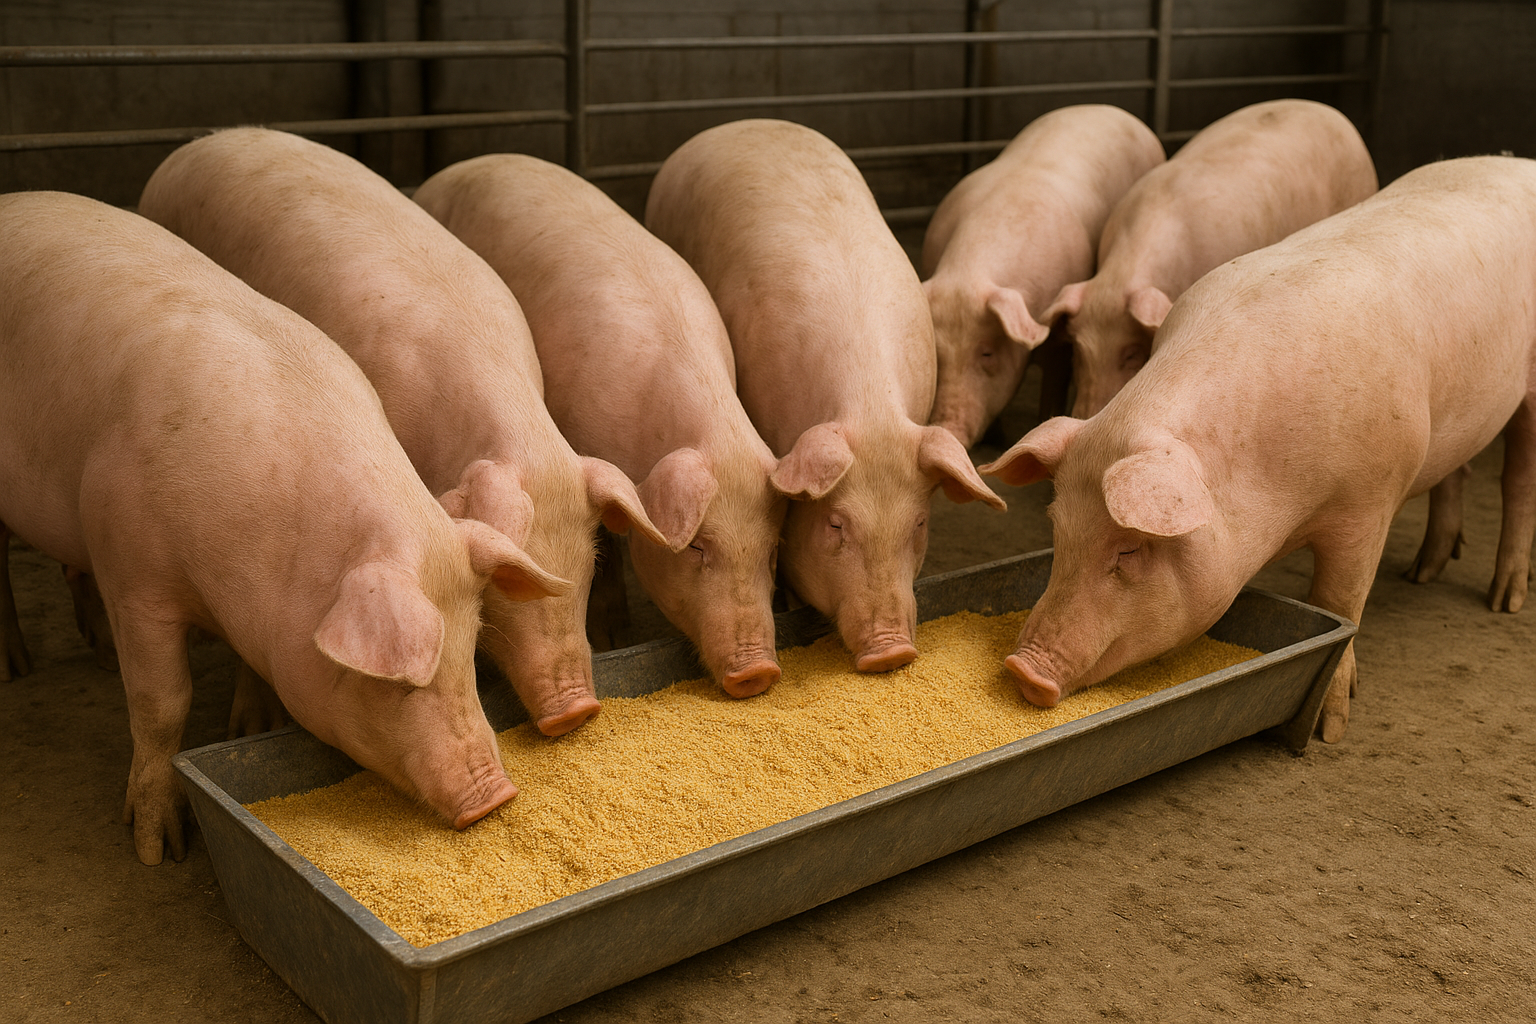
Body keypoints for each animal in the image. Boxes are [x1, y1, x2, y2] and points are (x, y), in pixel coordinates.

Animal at [0, 191, 556, 863]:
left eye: (470, 654)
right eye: (399, 683)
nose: (497, 796)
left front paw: (252, 728)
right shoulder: (131, 573)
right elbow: (162, 704)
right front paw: (158, 851)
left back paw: (97, 657)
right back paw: (15, 671)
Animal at [414, 153, 789, 698]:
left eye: (771, 551)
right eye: (698, 546)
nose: (760, 672)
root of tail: (464, 164)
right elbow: (607, 547)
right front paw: (616, 639)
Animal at [920, 104, 1165, 447]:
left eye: (987, 352)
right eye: (937, 356)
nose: (947, 428)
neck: (968, 271)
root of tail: (1106, 108)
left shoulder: (1059, 339)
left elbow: (1054, 386)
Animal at [980, 155, 1536, 744]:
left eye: (1128, 550)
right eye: (1058, 531)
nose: (1021, 670)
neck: (1281, 506)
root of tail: (1520, 163)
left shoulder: (1372, 500)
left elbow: (1340, 602)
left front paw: (1329, 732)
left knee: (1519, 479)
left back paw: (1504, 600)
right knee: (1459, 471)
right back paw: (1423, 572)